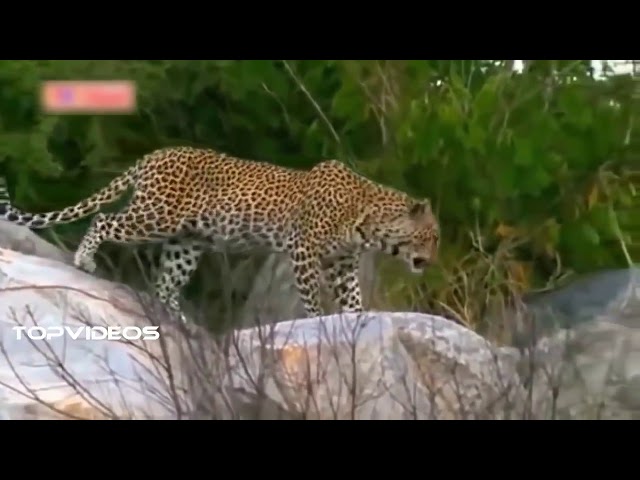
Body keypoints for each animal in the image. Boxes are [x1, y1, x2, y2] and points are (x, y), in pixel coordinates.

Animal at [0, 146, 440, 323]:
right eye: (432, 237)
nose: (434, 261)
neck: (369, 222)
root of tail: (153, 155)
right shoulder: (304, 251)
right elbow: (311, 298)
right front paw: (319, 321)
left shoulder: (343, 263)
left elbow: (353, 299)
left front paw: (355, 320)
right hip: (154, 217)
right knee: (105, 220)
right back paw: (84, 259)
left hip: (187, 242)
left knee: (165, 284)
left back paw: (179, 319)